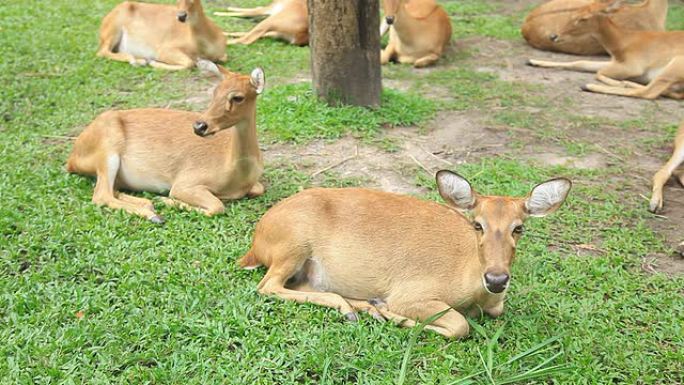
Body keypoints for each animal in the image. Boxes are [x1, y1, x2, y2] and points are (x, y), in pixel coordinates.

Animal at [66, 60, 264, 222]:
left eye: (238, 97)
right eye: (215, 92)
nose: (199, 126)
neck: (235, 175)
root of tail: (72, 159)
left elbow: (257, 189)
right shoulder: (185, 182)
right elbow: (217, 206)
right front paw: (167, 200)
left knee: (111, 190)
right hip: (107, 148)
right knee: (101, 195)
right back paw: (154, 214)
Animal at [98, 0, 227, 70]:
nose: (181, 16)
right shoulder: (164, 49)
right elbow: (190, 63)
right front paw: (153, 62)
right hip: (114, 26)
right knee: (102, 51)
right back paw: (139, 61)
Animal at [240, 171, 572, 336]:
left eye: (519, 228)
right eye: (478, 224)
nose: (497, 279)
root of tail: (257, 243)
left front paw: (379, 309)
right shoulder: (412, 292)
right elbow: (459, 326)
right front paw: (389, 313)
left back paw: (359, 307)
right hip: (292, 245)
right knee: (267, 286)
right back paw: (363, 308)